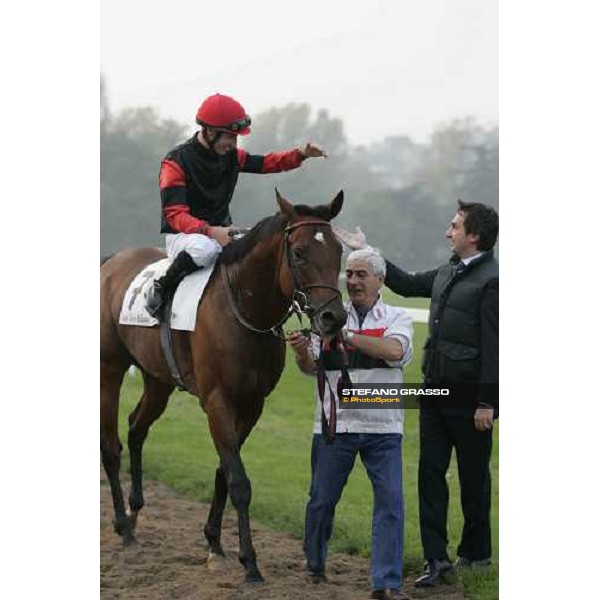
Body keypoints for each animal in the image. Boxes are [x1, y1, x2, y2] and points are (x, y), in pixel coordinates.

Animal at [99, 189, 346, 580]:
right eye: (299, 252)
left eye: (338, 250)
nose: (333, 317)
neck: (243, 310)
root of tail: (112, 261)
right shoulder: (218, 401)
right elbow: (239, 481)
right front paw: (251, 562)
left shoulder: (252, 404)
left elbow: (223, 472)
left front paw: (214, 542)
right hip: (110, 368)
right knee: (111, 445)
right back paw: (123, 524)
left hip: (159, 379)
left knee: (137, 427)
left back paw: (136, 512)